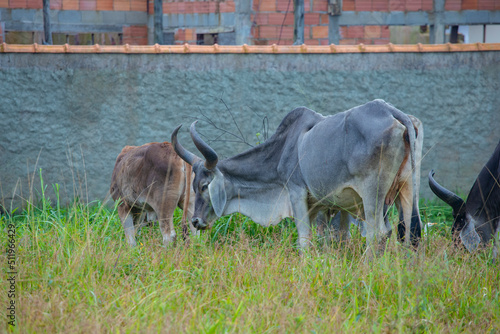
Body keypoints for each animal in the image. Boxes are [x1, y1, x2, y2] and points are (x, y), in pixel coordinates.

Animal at [171, 100, 422, 254]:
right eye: (193, 185)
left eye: (204, 186)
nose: (195, 221)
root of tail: (391, 112)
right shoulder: (319, 206)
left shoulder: (296, 193)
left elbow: (303, 240)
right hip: (406, 190)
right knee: (409, 232)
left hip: (373, 194)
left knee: (378, 233)